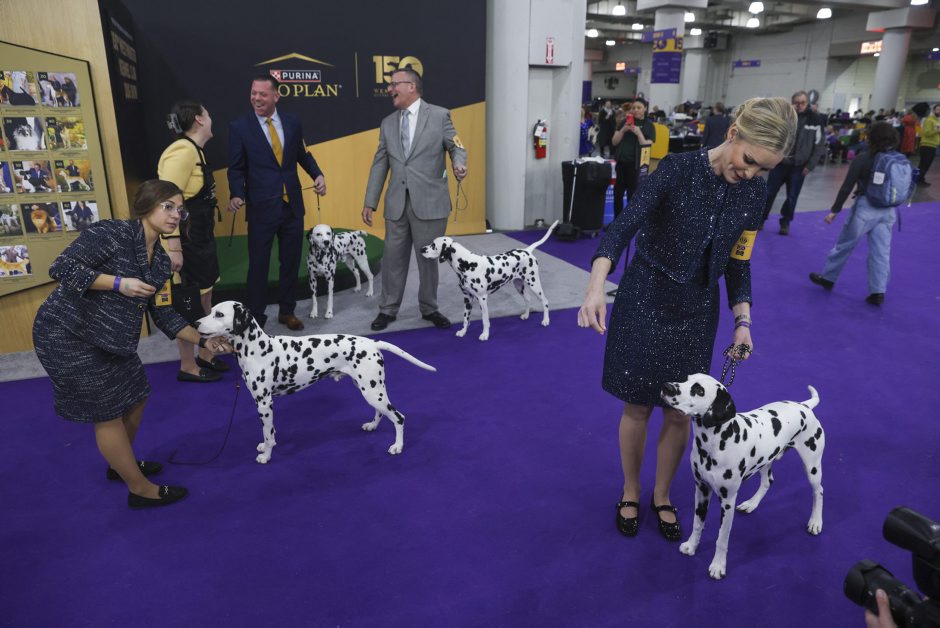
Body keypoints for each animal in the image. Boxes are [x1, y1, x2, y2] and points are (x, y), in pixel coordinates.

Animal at [196, 301, 436, 464]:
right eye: (211, 310)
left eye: (218, 314)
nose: (196, 323)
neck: (257, 347)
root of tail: (372, 343)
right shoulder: (266, 405)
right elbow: (271, 431)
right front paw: (266, 446)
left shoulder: (264, 403)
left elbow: (267, 432)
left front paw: (267, 455)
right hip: (370, 389)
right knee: (381, 413)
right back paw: (372, 425)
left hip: (372, 392)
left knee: (399, 417)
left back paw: (397, 446)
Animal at [420, 220, 558, 341]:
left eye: (433, 245)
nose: (421, 249)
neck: (468, 264)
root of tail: (527, 251)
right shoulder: (467, 298)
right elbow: (465, 319)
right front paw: (463, 332)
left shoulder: (482, 298)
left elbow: (485, 320)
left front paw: (485, 335)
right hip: (519, 285)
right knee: (528, 299)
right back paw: (526, 315)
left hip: (534, 284)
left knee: (545, 302)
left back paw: (546, 320)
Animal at [660, 373, 824, 580]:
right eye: (686, 379)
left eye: (699, 390)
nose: (666, 387)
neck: (714, 443)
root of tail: (804, 406)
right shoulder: (701, 489)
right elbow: (697, 523)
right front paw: (691, 546)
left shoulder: (727, 501)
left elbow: (722, 538)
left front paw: (718, 566)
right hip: (766, 461)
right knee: (768, 482)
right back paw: (751, 504)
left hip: (812, 466)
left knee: (819, 491)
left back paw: (815, 522)